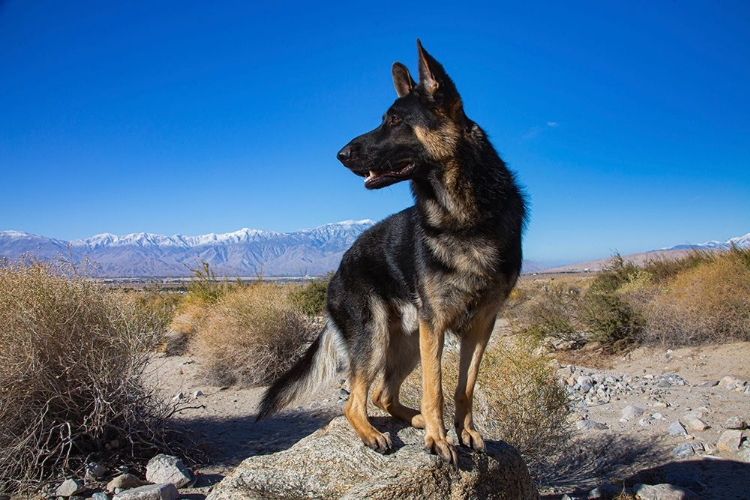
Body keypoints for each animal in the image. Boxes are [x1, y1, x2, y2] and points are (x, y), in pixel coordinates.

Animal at [258, 40, 528, 464]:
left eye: (396, 120)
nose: (340, 154)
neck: (464, 216)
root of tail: (338, 270)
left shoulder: (482, 325)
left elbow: (463, 386)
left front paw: (464, 432)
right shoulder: (437, 325)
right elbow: (435, 388)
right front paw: (438, 440)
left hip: (407, 343)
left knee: (383, 395)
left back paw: (414, 420)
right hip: (377, 338)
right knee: (353, 401)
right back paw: (375, 434)